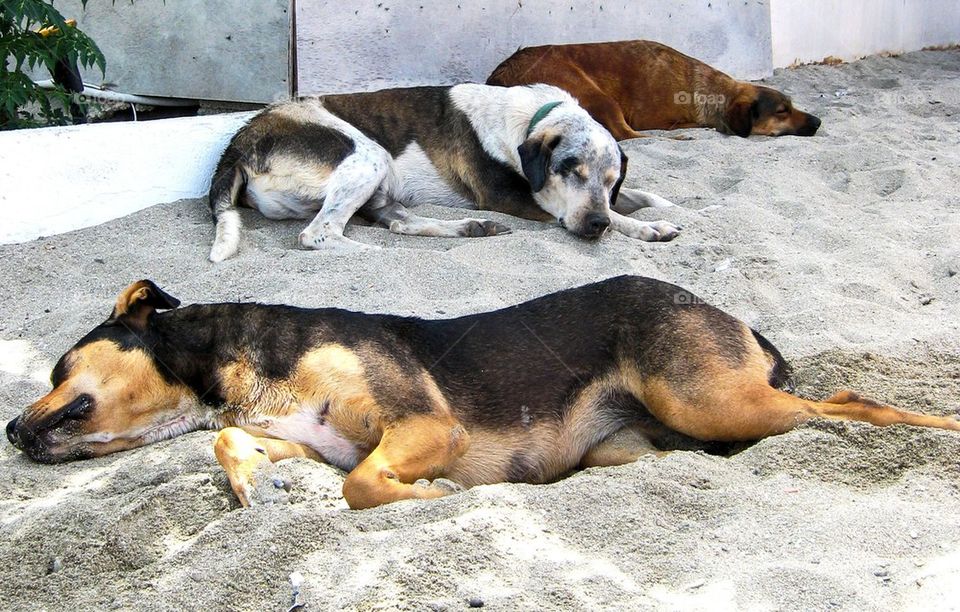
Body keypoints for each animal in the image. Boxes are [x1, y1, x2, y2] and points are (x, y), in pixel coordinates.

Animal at [206, 83, 680, 260]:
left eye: (610, 179)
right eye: (570, 170)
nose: (595, 225)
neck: (532, 119)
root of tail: (239, 140)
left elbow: (637, 198)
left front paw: (662, 209)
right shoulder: (515, 197)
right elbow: (614, 216)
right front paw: (645, 227)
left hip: (381, 182)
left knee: (399, 222)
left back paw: (471, 228)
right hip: (369, 155)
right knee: (318, 234)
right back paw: (382, 254)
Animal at [492, 40, 820, 140]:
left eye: (792, 105)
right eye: (782, 111)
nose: (818, 121)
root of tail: (500, 74)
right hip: (600, 96)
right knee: (627, 135)